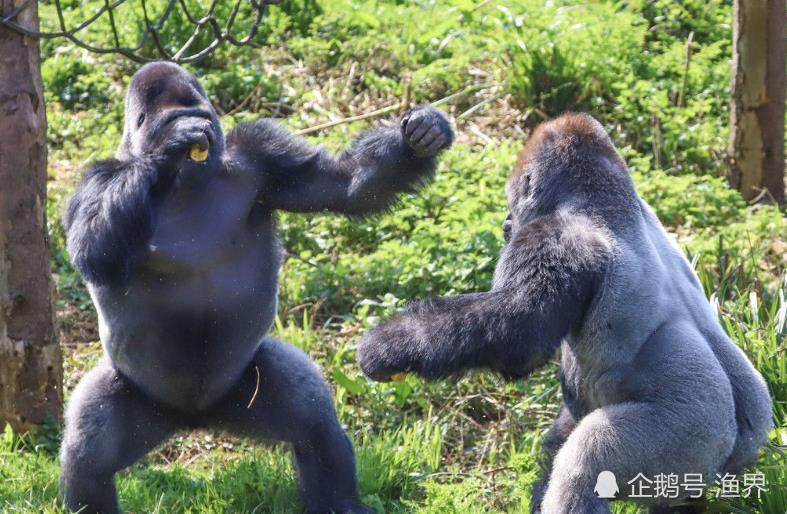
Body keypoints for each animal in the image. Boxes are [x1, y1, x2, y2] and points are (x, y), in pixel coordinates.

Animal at [58, 61, 452, 512]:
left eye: (202, 112)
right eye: (177, 119)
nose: (199, 133)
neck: (184, 182)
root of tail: (195, 418)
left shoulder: (263, 155)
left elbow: (344, 184)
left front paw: (420, 137)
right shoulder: (95, 181)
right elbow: (94, 250)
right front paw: (167, 148)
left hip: (246, 387)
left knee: (314, 426)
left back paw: (339, 501)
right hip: (143, 398)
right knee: (89, 456)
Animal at [358, 114, 776, 512]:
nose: (506, 223)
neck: (605, 196)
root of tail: (737, 450)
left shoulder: (554, 238)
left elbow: (518, 338)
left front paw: (392, 344)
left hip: (688, 439)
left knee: (585, 462)